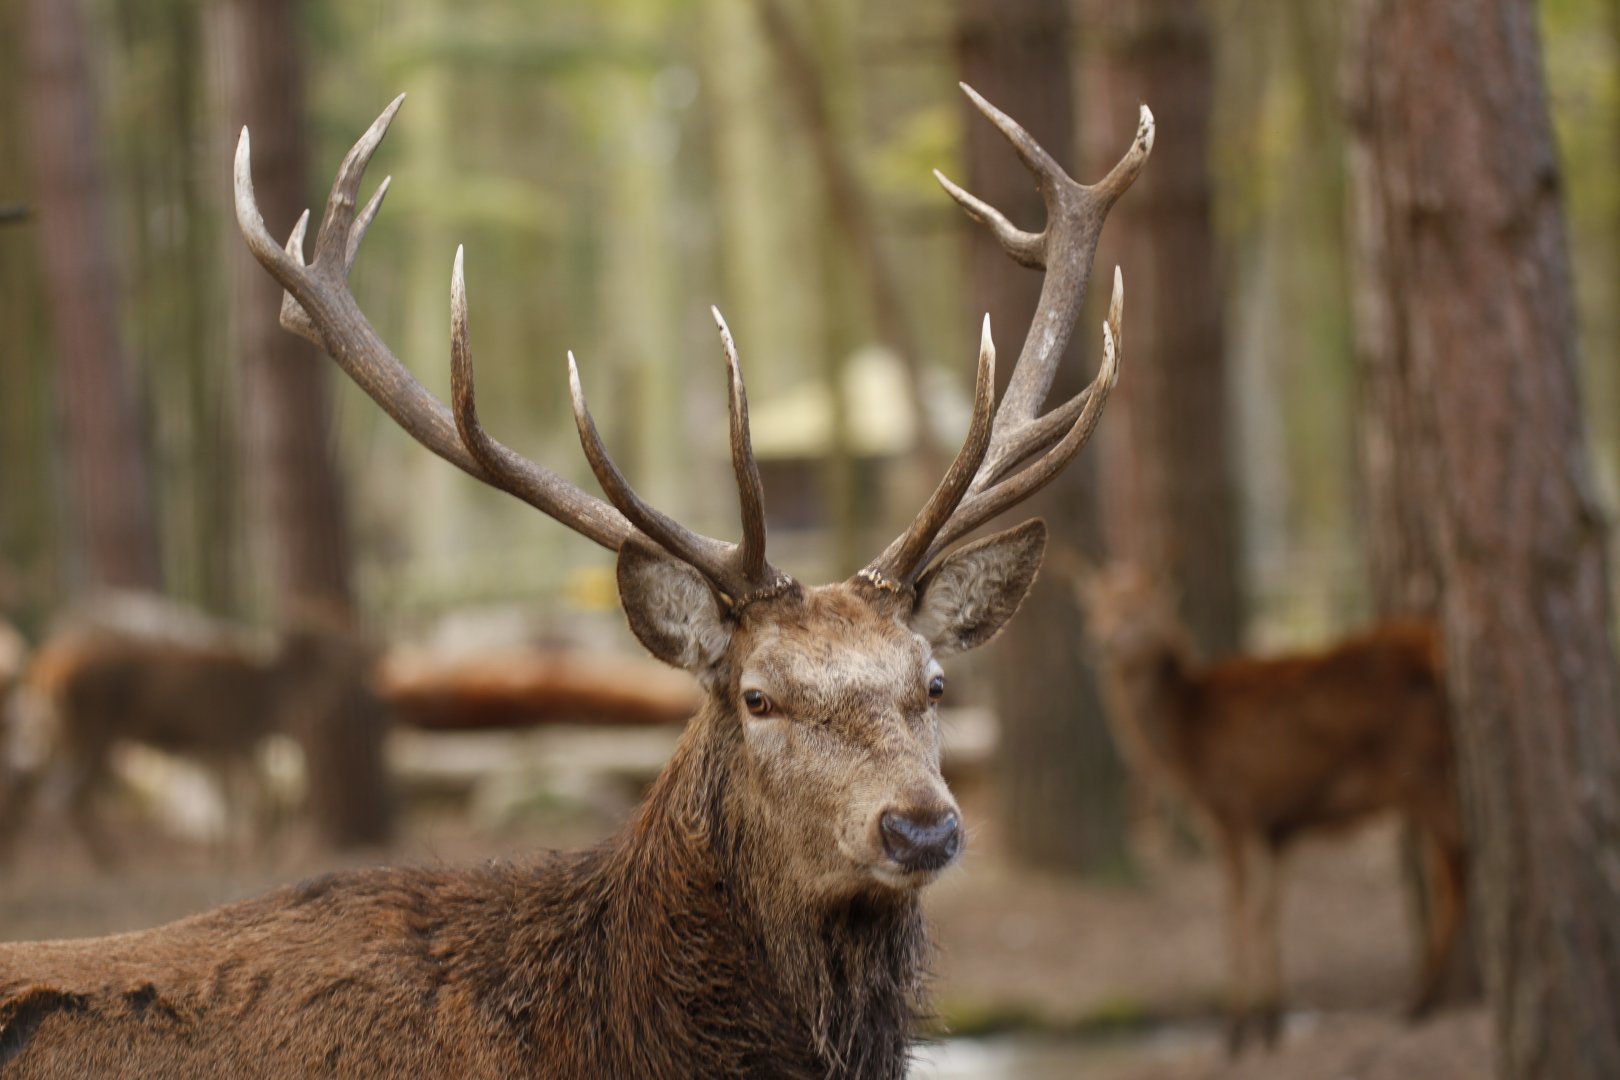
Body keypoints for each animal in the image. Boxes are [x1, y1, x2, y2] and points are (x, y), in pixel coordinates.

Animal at [0, 594, 366, 867]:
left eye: (348, 626)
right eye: (333, 634)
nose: (367, 649)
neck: (268, 702)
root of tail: (43, 667)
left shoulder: (214, 748)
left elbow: (227, 804)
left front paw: (224, 855)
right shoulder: (231, 737)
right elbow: (255, 800)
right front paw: (257, 854)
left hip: (52, 729)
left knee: (27, 785)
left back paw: (16, 859)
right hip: (94, 729)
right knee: (71, 795)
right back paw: (112, 860)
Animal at [1072, 562, 1466, 1057]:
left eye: (1139, 608)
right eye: (1097, 607)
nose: (1101, 640)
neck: (1185, 743)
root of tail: (1437, 645)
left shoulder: (1230, 810)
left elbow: (1237, 913)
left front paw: (1236, 1033)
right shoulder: (1277, 827)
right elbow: (1268, 913)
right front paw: (1271, 1023)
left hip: (1424, 773)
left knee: (1459, 866)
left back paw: (1420, 1000)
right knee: (1449, 869)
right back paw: (1426, 997)